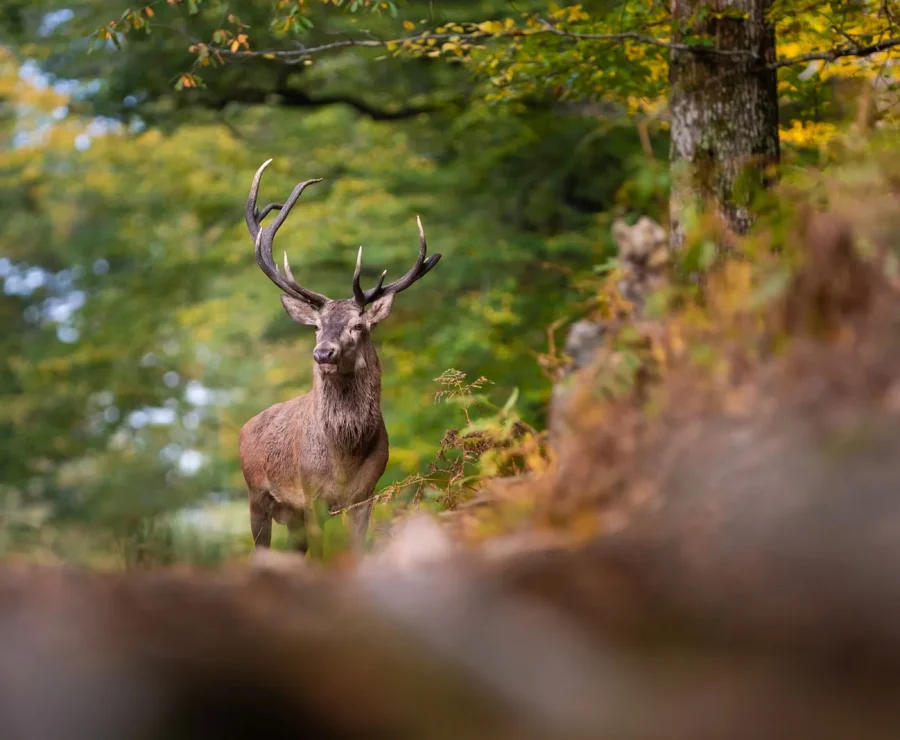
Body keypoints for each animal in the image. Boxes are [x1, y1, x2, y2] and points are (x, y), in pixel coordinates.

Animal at [238, 159, 441, 554]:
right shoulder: (311, 495)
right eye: (316, 326)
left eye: (358, 325)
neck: (343, 458)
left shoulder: (366, 494)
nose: (323, 352)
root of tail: (245, 427)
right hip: (257, 495)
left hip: (290, 516)